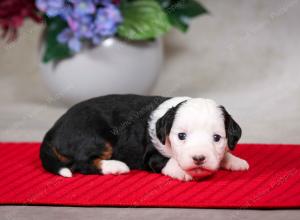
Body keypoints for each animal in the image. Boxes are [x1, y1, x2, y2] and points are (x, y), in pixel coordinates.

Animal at [41, 93, 250, 181]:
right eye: (181, 136)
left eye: (217, 138)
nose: (199, 158)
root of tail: (54, 129)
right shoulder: (151, 155)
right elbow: (166, 160)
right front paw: (182, 171)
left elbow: (224, 153)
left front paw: (235, 161)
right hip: (95, 138)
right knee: (82, 163)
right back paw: (116, 166)